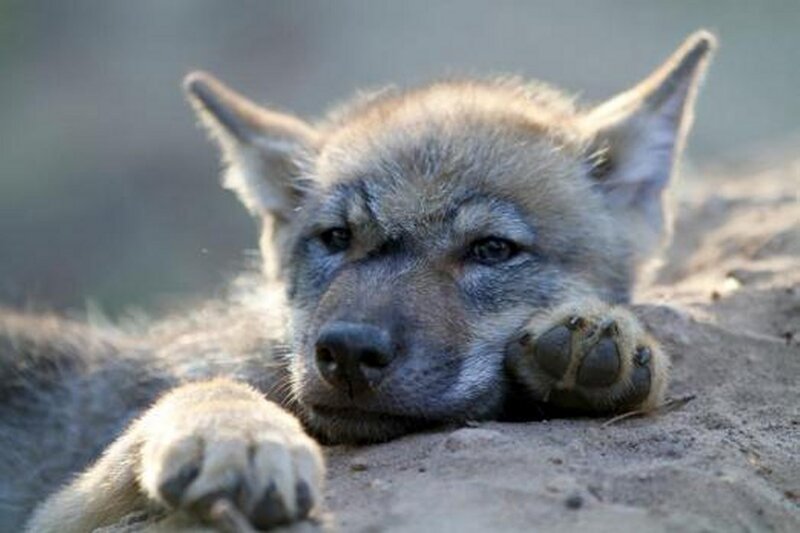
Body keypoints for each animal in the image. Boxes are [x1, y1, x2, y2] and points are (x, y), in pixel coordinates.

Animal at [0, 31, 714, 532]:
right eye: (337, 238)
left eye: (491, 250)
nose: (346, 352)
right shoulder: (57, 513)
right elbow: (198, 391)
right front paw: (236, 435)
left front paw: (599, 336)